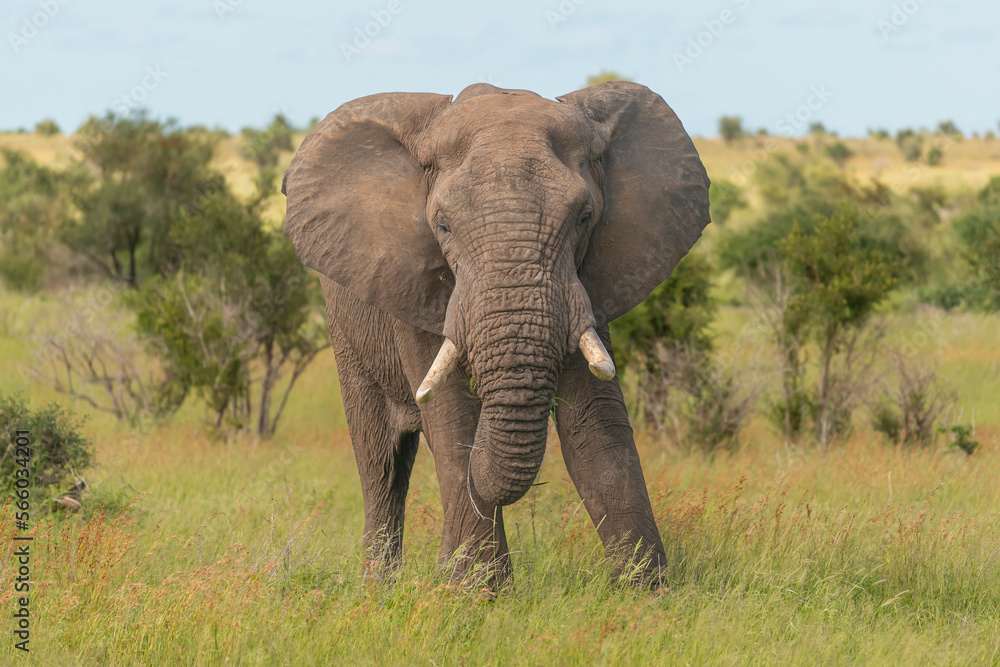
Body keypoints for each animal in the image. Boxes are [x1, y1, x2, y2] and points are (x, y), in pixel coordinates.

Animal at [281, 81, 711, 588]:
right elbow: (453, 420)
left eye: (584, 217)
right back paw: (377, 585)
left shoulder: (585, 282)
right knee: (380, 460)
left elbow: (595, 425)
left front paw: (645, 590)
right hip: (347, 330)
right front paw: (472, 590)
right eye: (442, 225)